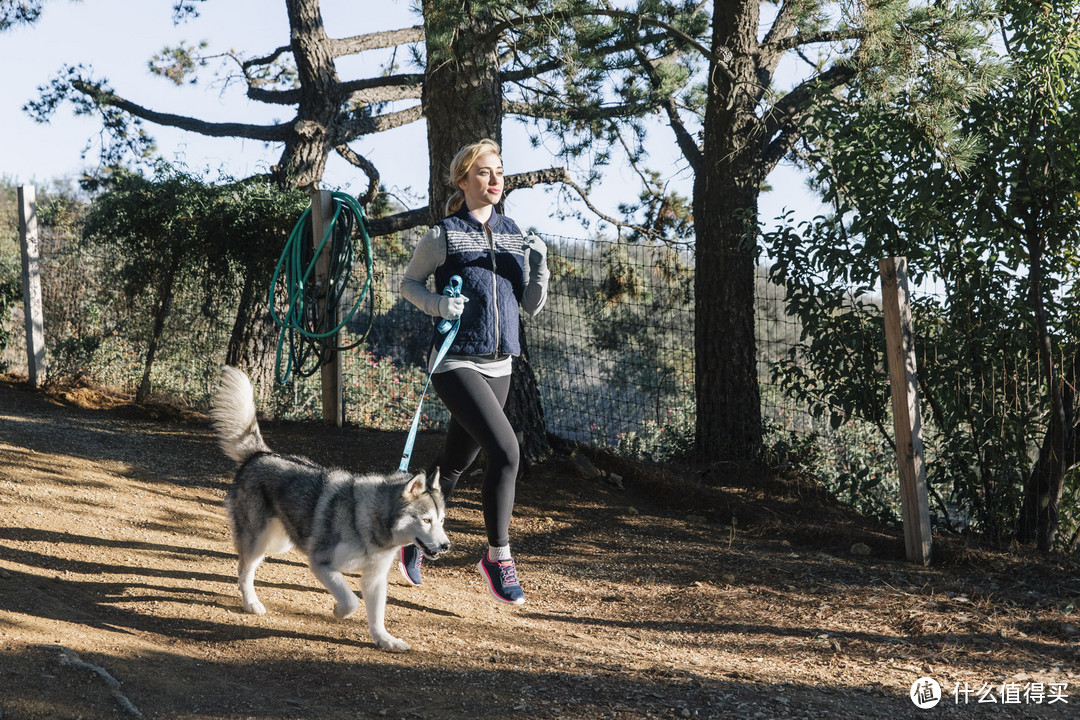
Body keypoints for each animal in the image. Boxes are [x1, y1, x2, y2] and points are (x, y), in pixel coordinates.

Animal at [210, 369, 451, 651]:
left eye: (441, 521)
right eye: (426, 520)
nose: (446, 546)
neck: (368, 521)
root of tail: (260, 454)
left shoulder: (374, 579)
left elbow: (376, 614)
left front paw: (384, 639)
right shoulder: (321, 563)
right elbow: (350, 600)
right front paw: (338, 611)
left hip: (279, 542)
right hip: (257, 541)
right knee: (244, 570)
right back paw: (251, 603)